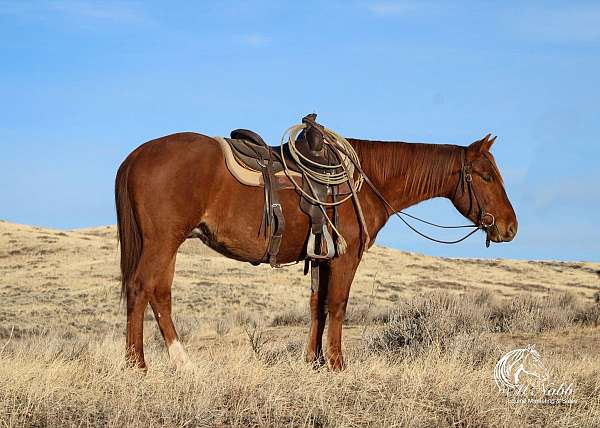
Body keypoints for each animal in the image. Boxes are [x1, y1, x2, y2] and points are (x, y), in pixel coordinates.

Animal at [116, 131, 516, 372]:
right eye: (486, 176)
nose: (510, 227)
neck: (366, 180)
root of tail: (136, 156)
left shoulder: (322, 257)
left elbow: (317, 307)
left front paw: (315, 361)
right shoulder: (345, 256)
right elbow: (337, 305)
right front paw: (338, 364)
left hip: (170, 244)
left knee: (160, 295)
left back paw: (182, 363)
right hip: (161, 242)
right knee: (139, 289)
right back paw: (137, 365)